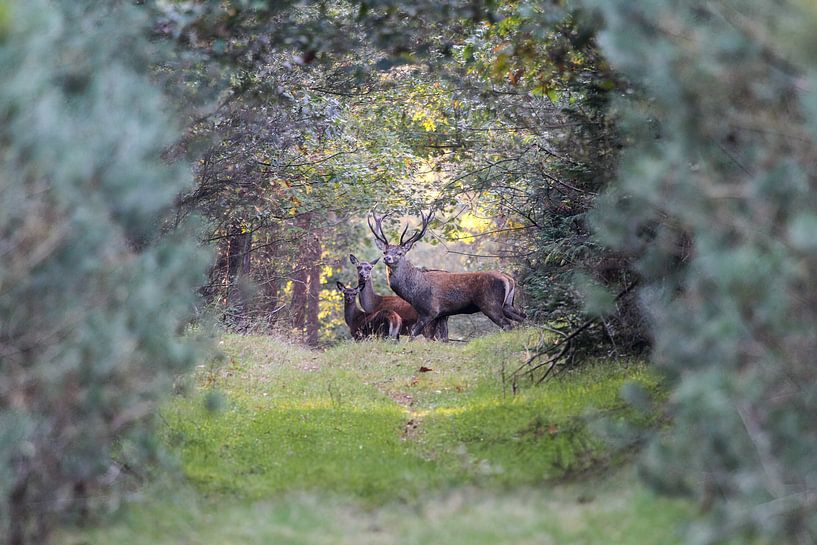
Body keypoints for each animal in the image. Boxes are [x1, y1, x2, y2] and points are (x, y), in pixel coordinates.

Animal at [368, 211, 526, 338]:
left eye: (400, 253)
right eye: (385, 251)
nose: (387, 258)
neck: (413, 292)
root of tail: (509, 279)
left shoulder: (429, 311)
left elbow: (414, 333)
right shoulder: (443, 315)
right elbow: (443, 338)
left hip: (490, 304)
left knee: (508, 324)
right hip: (507, 304)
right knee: (523, 317)